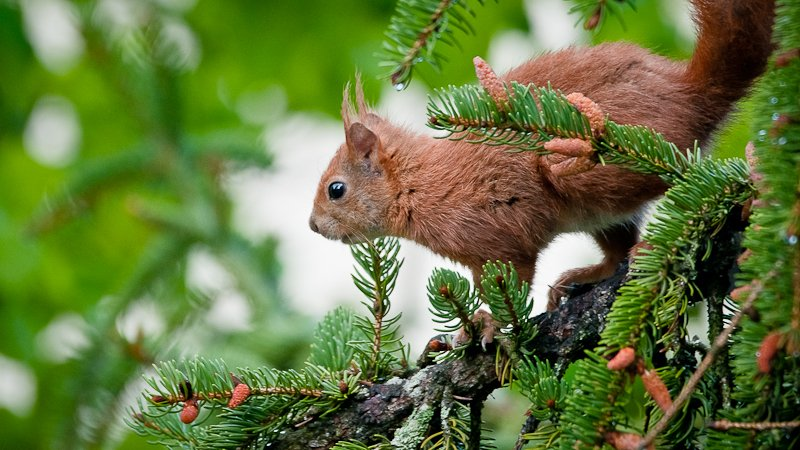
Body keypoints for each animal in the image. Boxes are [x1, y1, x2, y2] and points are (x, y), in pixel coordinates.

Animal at [308, 0, 776, 310]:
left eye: (336, 189)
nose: (313, 226)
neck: (419, 183)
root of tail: (691, 94)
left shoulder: (497, 232)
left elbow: (511, 280)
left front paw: (485, 329)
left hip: (587, 168)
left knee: (685, 172)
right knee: (618, 248)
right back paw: (584, 276)